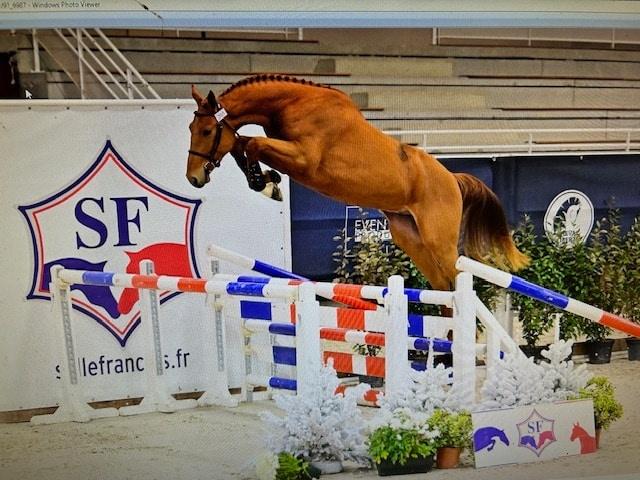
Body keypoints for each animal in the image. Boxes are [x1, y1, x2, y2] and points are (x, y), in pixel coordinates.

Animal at [185, 74, 529, 291]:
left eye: (206, 131)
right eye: (191, 128)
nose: (194, 177)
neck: (292, 104)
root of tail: (452, 179)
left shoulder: (304, 161)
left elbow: (251, 144)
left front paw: (266, 183)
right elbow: (241, 143)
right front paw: (267, 182)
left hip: (438, 241)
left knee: (457, 281)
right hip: (411, 237)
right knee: (443, 286)